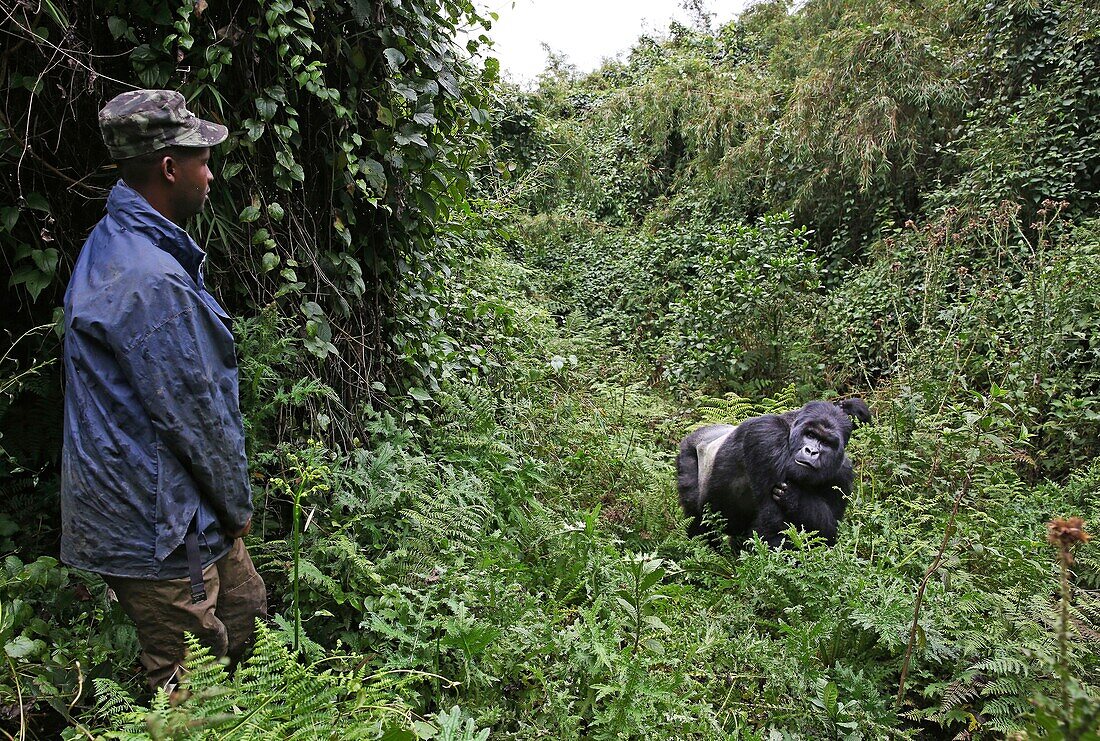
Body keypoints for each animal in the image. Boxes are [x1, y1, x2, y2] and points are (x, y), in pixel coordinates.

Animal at [673, 397, 871, 547]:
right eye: (811, 435)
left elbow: (827, 532)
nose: (811, 451)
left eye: (827, 443)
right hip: (688, 452)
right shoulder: (766, 435)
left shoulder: (843, 474)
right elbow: (773, 528)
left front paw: (796, 499)